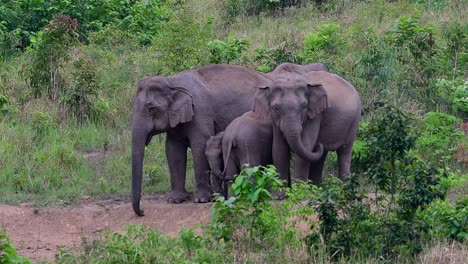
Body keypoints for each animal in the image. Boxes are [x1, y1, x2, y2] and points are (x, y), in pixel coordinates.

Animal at [133, 64, 270, 217]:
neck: (172, 82)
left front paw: (201, 199)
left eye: (152, 109)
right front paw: (175, 200)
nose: (142, 212)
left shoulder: (200, 111)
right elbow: (173, 150)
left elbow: (199, 145)